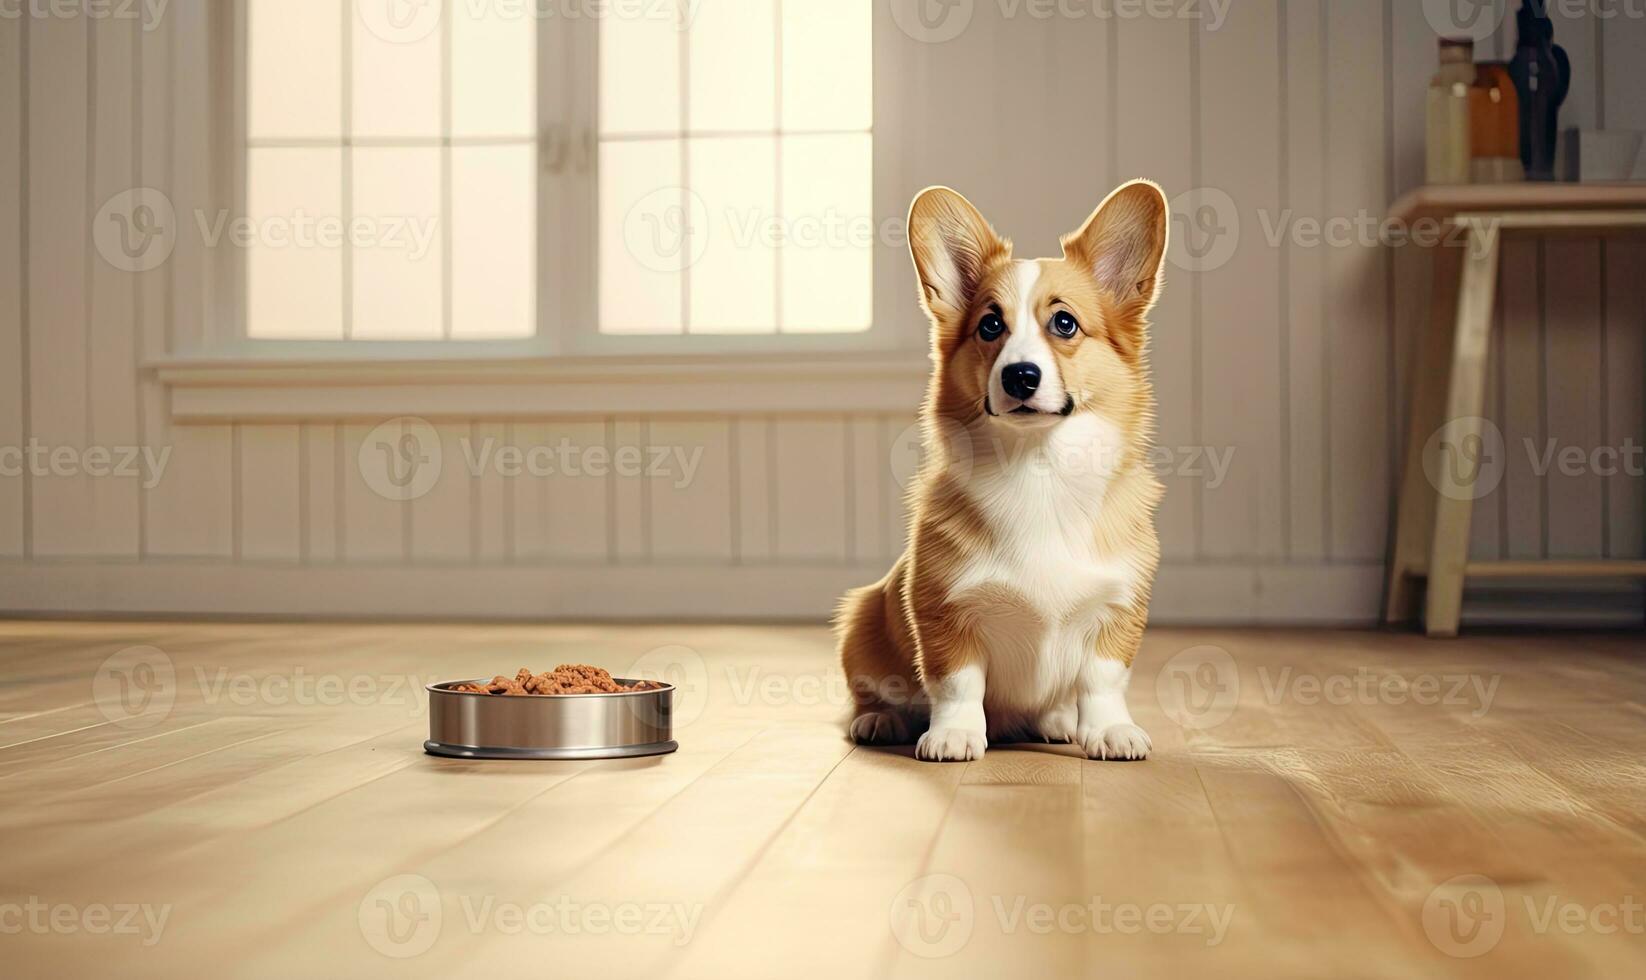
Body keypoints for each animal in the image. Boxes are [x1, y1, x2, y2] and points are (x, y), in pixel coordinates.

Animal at [836, 182, 1171, 767]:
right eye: (990, 324)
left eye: (1065, 323)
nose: (1019, 376)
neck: (1039, 468)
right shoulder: (945, 611)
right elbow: (957, 684)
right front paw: (954, 736)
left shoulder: (1117, 608)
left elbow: (1103, 680)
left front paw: (1110, 730)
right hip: (864, 617)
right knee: (875, 693)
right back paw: (880, 720)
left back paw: (1058, 722)